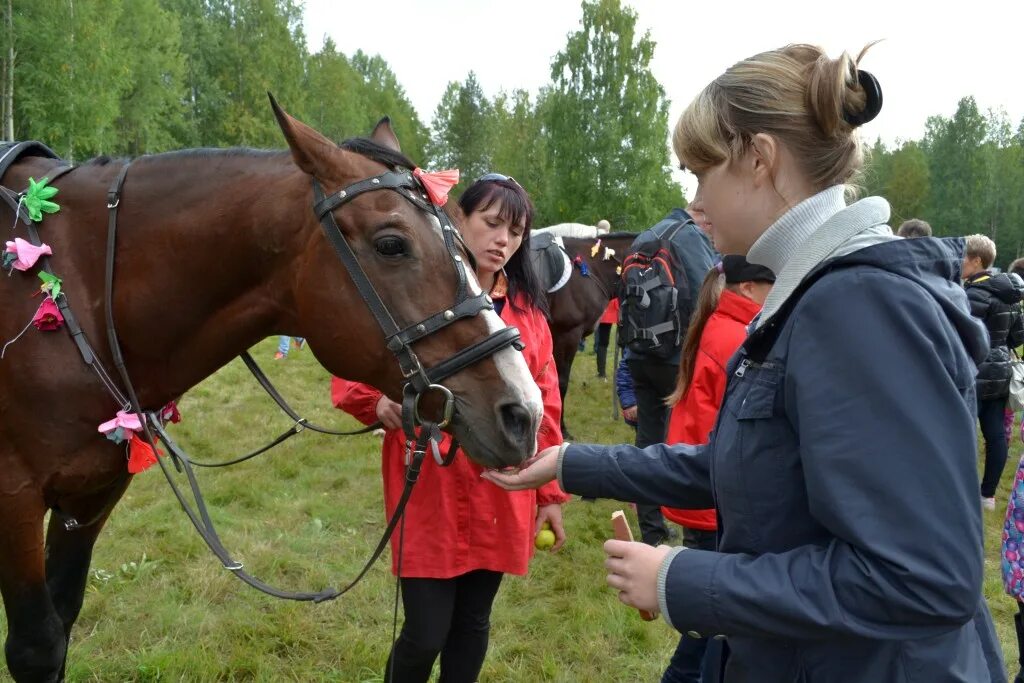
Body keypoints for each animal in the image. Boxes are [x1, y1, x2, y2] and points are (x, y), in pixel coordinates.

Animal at [0, 101, 544, 683]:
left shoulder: (93, 495)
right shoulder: (15, 500)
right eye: (391, 244)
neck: (77, 289)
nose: (523, 412)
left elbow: (63, 620)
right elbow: (37, 646)